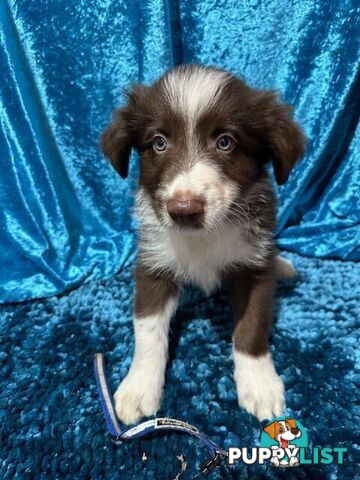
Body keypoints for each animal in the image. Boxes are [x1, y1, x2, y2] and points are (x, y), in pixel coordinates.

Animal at [100, 64, 306, 424]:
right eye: (159, 142)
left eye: (225, 142)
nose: (184, 210)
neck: (203, 237)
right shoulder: (154, 262)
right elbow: (148, 328)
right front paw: (139, 387)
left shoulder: (254, 265)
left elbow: (252, 326)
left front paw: (259, 383)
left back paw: (283, 265)